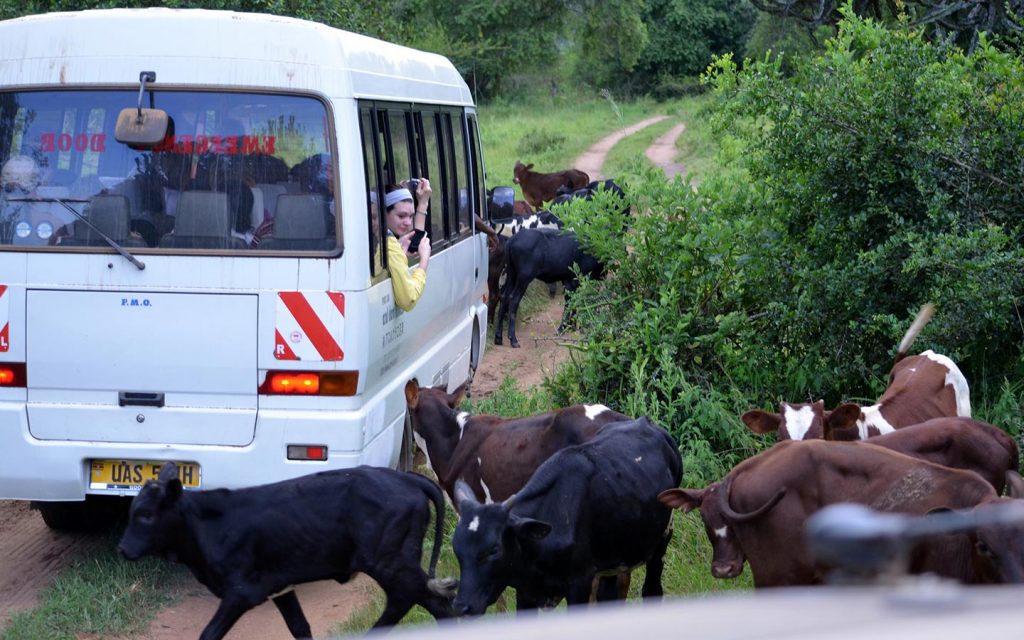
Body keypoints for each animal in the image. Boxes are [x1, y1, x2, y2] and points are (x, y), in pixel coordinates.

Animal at [117, 464, 456, 638]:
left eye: (146, 515)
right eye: (132, 511)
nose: (123, 549)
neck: (206, 525)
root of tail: (405, 477)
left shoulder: (242, 592)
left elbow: (209, 634)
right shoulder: (280, 587)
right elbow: (299, 627)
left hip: (391, 562)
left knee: (427, 602)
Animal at [450, 413, 679, 614]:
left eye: (494, 549)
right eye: (457, 550)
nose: (461, 607)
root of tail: (645, 422)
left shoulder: (580, 583)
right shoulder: (525, 593)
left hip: (662, 540)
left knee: (652, 589)